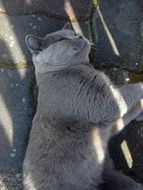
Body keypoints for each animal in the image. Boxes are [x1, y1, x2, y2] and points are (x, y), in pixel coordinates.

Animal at [22, 23, 143, 189]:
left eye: (73, 33)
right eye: (62, 39)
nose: (79, 35)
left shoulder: (109, 121)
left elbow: (128, 110)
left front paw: (140, 112)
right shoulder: (106, 104)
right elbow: (134, 90)